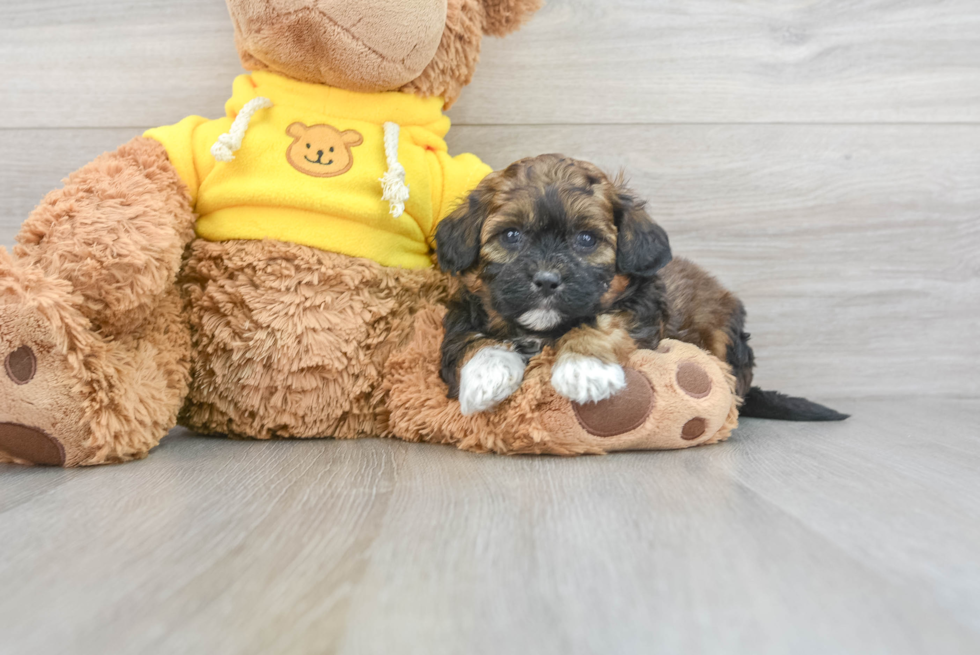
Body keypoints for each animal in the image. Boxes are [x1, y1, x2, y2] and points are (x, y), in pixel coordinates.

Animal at [432, 154, 848, 422]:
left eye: (586, 239)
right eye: (511, 235)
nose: (547, 279)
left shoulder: (642, 309)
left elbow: (603, 323)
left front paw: (583, 368)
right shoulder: (465, 311)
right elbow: (469, 340)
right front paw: (485, 378)